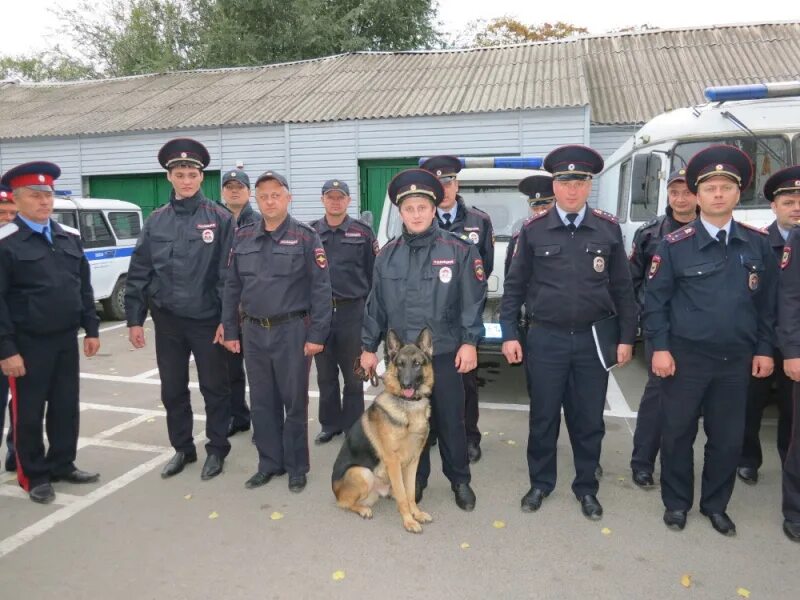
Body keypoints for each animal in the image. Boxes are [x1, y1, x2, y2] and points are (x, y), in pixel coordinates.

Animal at [330, 328, 434, 536]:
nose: (406, 384)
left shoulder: (414, 460)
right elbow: (403, 496)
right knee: (344, 503)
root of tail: (334, 490)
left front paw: (416, 514)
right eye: (400, 365)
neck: (408, 407)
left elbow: (410, 493)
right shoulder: (393, 461)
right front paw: (408, 521)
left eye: (417, 364)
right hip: (363, 473)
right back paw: (363, 509)